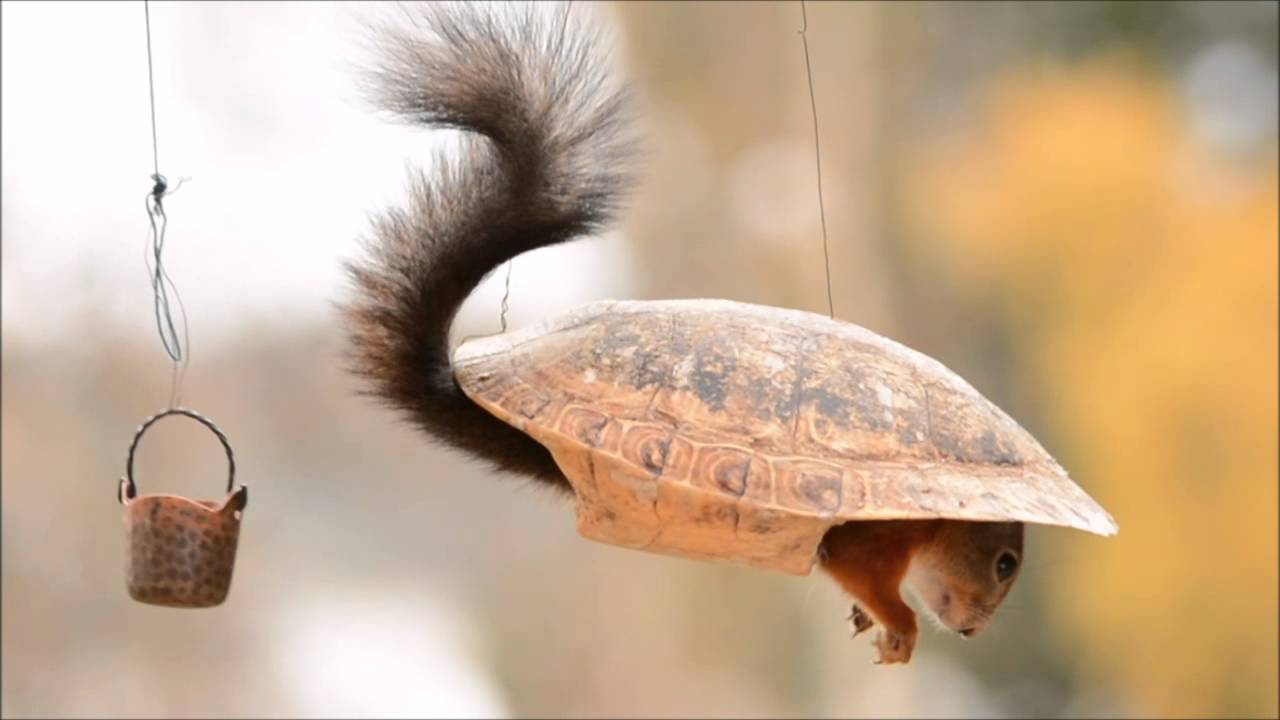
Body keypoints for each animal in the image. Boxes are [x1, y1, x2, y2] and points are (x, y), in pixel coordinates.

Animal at [341, 1, 1025, 665]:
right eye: (1005, 564)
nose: (971, 632)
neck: (932, 523)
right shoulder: (872, 535)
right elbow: (858, 568)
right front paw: (899, 629)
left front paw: (869, 623)